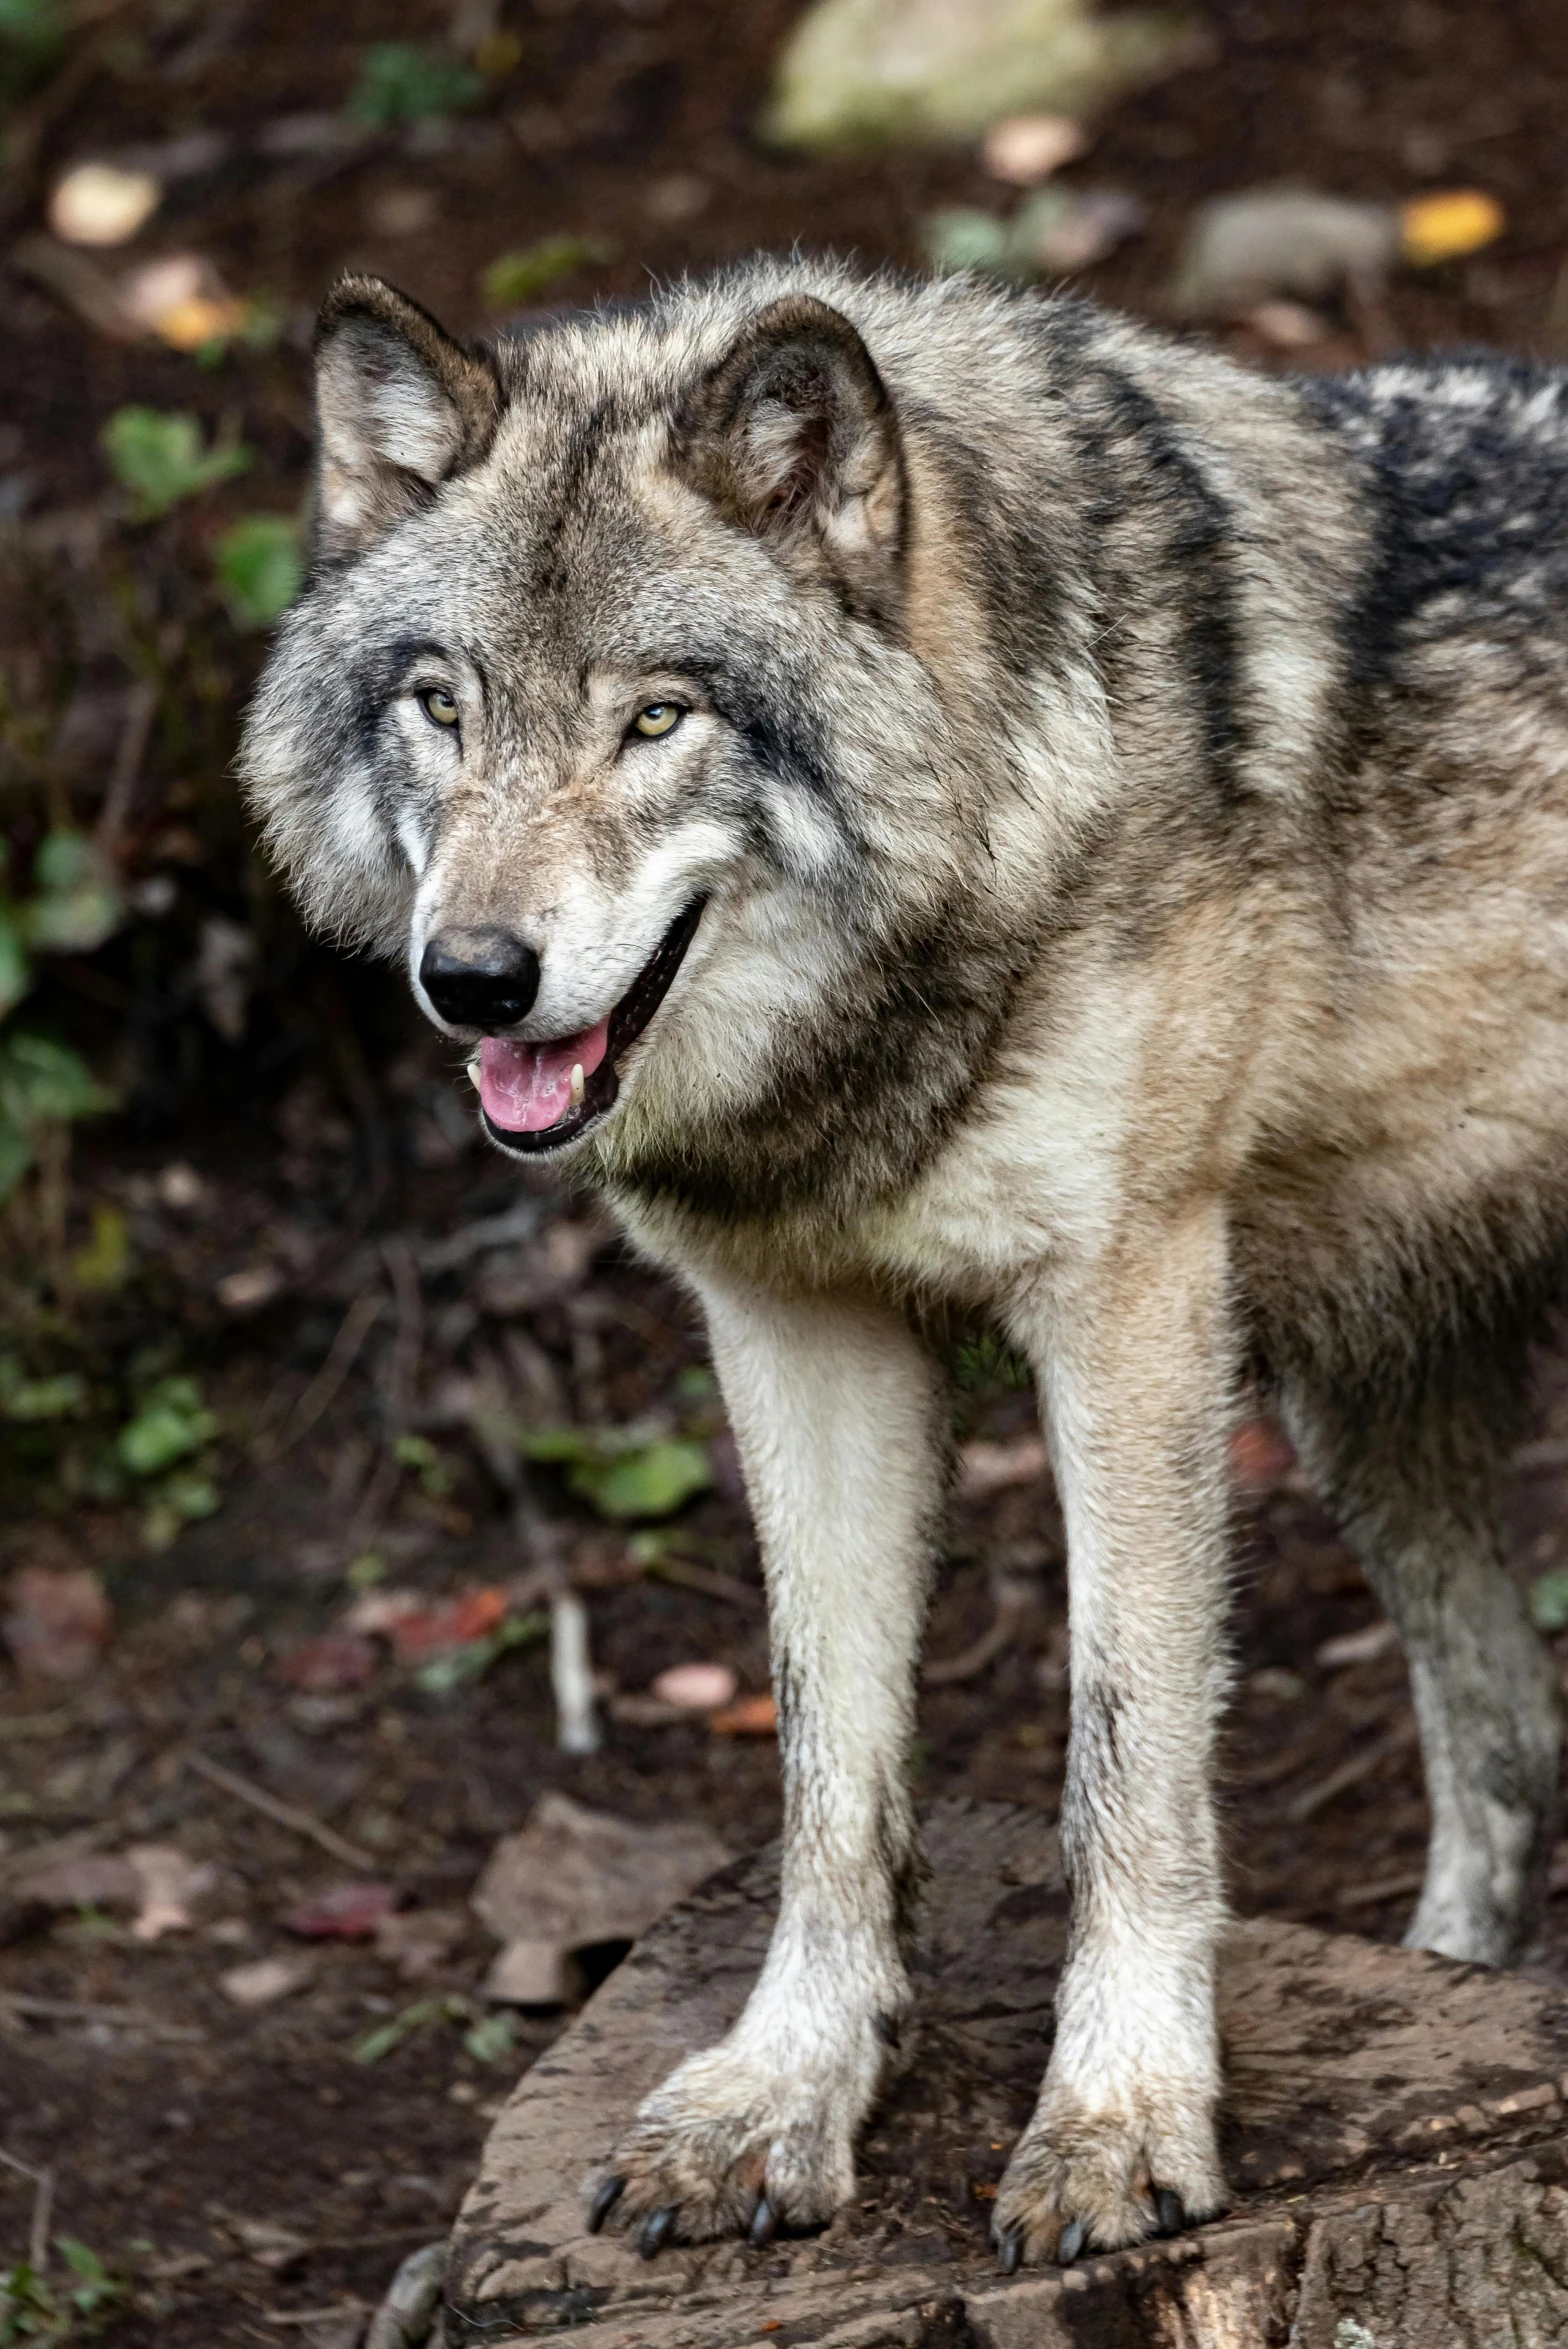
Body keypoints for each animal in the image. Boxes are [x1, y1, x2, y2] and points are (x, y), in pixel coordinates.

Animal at [239, 261, 1568, 2273]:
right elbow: (828, 1767)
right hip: (1373, 1411)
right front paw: (783, 2095)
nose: (471, 979)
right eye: (440, 705)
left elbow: (1124, 1760)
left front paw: (1119, 2117)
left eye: (658, 717)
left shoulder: (1129, 1312)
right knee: (1503, 1751)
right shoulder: (796, 1335)